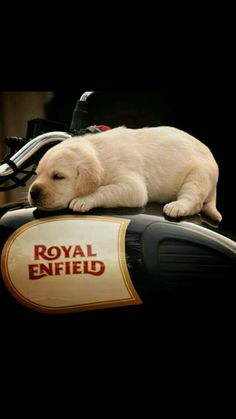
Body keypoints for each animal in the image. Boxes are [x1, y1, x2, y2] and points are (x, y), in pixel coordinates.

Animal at [27, 125, 221, 221]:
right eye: (37, 174)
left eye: (58, 177)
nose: (33, 193)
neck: (100, 154)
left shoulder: (133, 188)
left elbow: (104, 190)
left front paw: (84, 200)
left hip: (198, 176)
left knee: (194, 200)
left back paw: (178, 206)